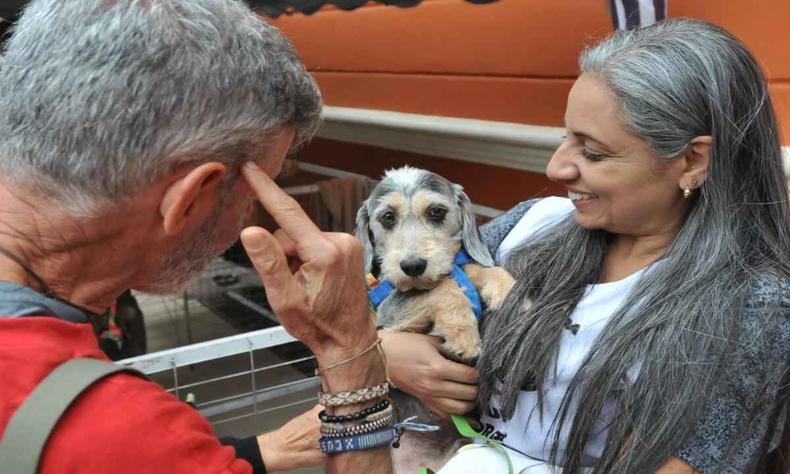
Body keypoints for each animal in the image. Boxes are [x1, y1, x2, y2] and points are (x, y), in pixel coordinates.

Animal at [356, 167, 516, 470]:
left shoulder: (461, 266)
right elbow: (442, 287)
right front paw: (463, 335)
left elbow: (477, 269)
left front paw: (511, 293)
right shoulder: (389, 315)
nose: (413, 266)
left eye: (436, 212)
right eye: (387, 217)